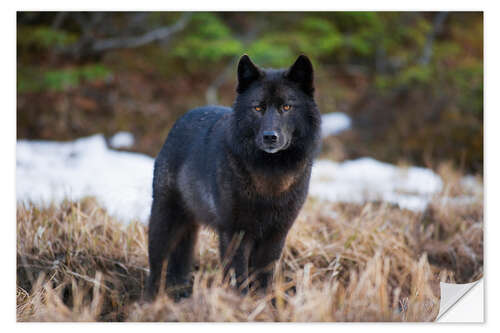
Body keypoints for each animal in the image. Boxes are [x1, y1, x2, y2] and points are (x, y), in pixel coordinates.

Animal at [146, 54, 322, 298]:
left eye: (286, 106)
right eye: (258, 107)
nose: (270, 137)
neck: (270, 177)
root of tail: (181, 119)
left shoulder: (275, 235)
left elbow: (263, 278)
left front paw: (262, 303)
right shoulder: (234, 234)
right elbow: (238, 277)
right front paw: (240, 301)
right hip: (164, 222)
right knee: (156, 267)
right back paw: (150, 301)